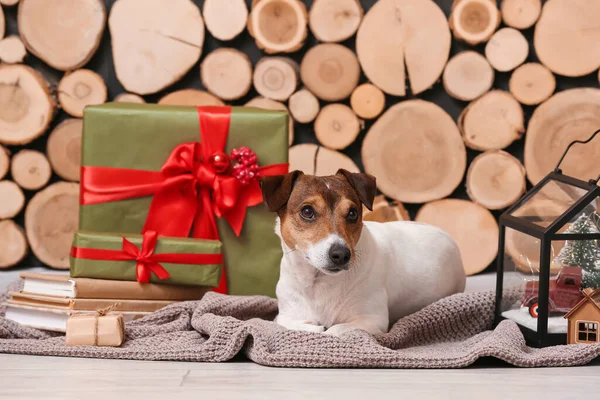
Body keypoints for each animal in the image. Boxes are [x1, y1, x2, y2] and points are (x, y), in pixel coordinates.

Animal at [262, 170, 464, 336]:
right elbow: (285, 322)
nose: (341, 254)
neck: (319, 282)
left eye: (352, 213)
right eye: (307, 211)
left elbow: (333, 331)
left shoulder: (372, 320)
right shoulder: (285, 313)